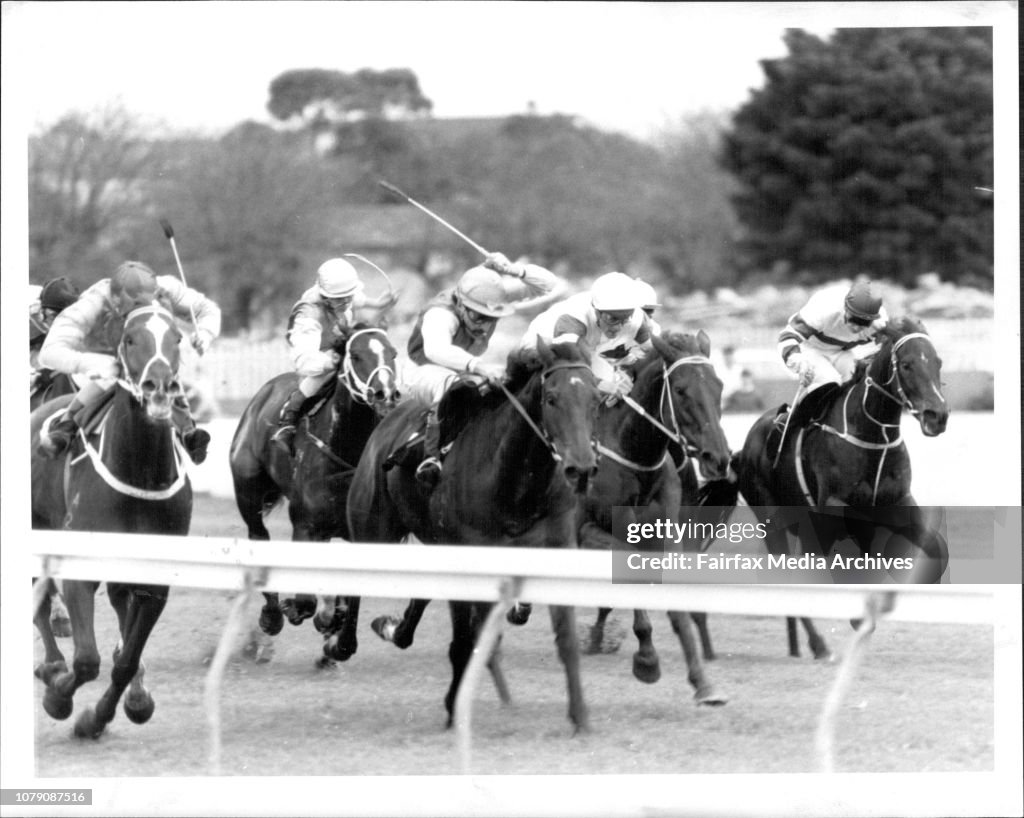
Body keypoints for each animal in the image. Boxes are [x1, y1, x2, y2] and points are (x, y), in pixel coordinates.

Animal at [30, 303, 192, 737]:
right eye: (130, 338)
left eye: (177, 338)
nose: (159, 385)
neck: (139, 471)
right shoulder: (78, 566)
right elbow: (87, 660)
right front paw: (58, 697)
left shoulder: (155, 582)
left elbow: (125, 660)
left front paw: (99, 716)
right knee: (41, 606)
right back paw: (51, 665)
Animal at [229, 323, 399, 663]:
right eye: (356, 355)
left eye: (393, 353)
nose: (386, 393)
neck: (347, 453)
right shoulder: (306, 525)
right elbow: (305, 602)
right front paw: (303, 612)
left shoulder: (363, 533)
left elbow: (351, 596)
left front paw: (337, 638)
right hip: (248, 494)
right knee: (259, 537)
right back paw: (272, 616)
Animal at [350, 339, 602, 737]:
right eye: (551, 398)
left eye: (596, 398)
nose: (581, 469)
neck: (515, 483)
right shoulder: (472, 557)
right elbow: (470, 641)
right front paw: (456, 709)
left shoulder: (555, 551)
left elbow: (565, 641)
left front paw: (580, 717)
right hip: (373, 532)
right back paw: (341, 640)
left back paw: (395, 629)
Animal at [581, 331, 733, 704]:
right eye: (680, 389)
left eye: (719, 386)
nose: (718, 458)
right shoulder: (586, 531)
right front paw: (647, 659)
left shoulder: (666, 533)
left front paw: (702, 681)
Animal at [737, 315, 950, 659]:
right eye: (906, 365)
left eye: (937, 361)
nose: (937, 416)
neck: (870, 437)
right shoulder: (835, 512)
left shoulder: (898, 505)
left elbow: (935, 550)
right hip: (772, 521)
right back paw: (818, 644)